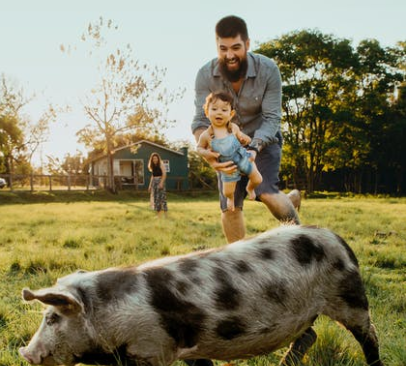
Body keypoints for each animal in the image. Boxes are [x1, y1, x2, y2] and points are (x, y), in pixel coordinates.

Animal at [19, 226, 382, 366]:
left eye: (52, 318)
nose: (25, 353)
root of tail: (336, 237)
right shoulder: (186, 345)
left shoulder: (152, 349)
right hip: (308, 312)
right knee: (310, 335)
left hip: (349, 297)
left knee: (370, 336)